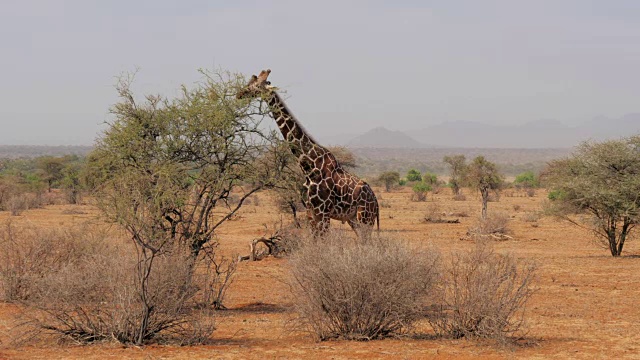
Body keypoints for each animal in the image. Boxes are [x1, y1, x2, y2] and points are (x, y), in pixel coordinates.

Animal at [240, 69, 380, 236]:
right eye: (250, 82)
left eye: (257, 86)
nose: (240, 93)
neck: (308, 165)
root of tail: (376, 202)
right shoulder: (310, 211)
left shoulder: (322, 212)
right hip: (354, 220)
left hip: (365, 219)